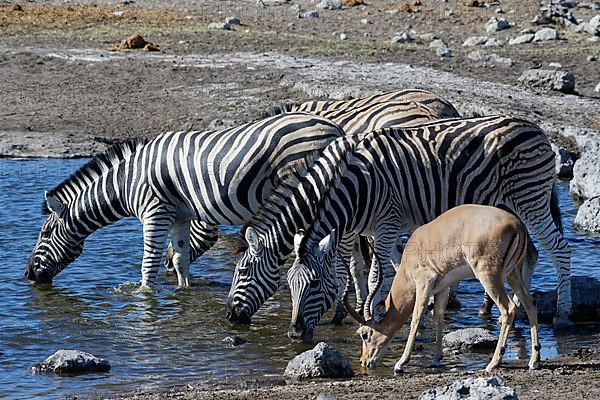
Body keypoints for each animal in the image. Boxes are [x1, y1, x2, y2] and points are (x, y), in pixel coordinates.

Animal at [24, 112, 346, 288]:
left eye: (45, 233)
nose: (27, 275)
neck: (126, 183)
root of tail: (336, 129)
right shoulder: (180, 216)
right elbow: (180, 259)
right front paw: (183, 292)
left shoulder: (155, 212)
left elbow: (148, 263)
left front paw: (145, 298)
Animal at [230, 115, 572, 340]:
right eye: (289, 284)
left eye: (313, 285)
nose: (294, 333)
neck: (348, 184)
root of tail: (535, 128)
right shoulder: (366, 228)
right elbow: (386, 268)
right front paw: (400, 309)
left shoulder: (382, 225)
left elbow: (368, 273)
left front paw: (366, 315)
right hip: (510, 206)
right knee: (532, 253)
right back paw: (518, 306)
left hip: (530, 199)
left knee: (560, 250)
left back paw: (561, 315)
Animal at [350, 205, 540, 374]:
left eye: (364, 334)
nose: (364, 361)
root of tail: (517, 225)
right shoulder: (442, 287)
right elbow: (439, 317)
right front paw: (436, 359)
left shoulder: (424, 283)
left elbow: (416, 318)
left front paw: (401, 363)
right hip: (513, 274)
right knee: (530, 304)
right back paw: (533, 361)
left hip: (488, 276)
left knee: (508, 309)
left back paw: (493, 363)